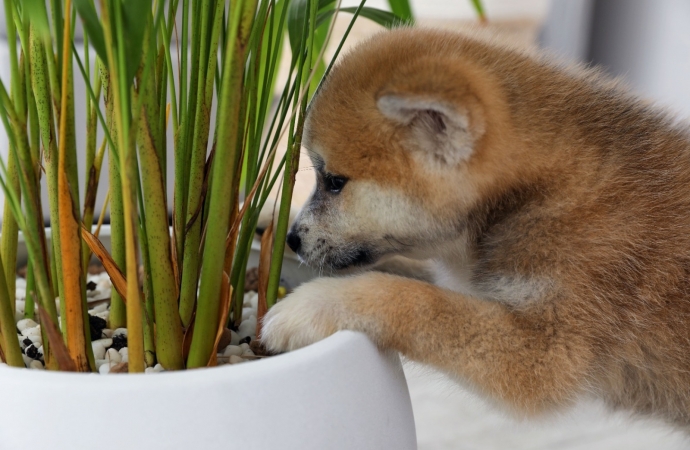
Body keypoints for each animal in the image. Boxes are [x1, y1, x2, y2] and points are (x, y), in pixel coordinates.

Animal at [260, 28, 688, 428]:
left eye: (334, 182)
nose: (292, 239)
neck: (532, 194)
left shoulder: (543, 353)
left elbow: (416, 300)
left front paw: (315, 304)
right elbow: (411, 278)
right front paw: (267, 218)